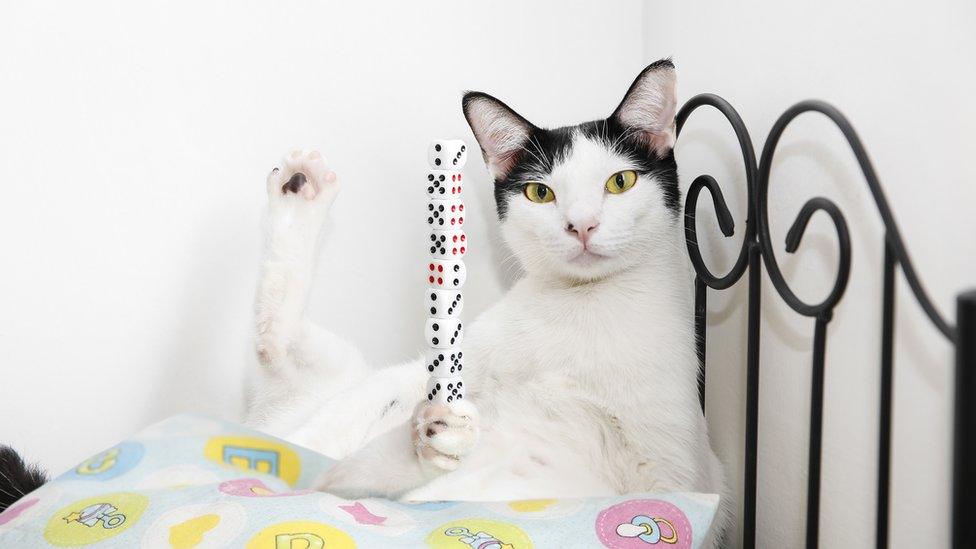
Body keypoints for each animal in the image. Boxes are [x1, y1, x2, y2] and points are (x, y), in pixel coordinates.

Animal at [248, 61, 728, 536]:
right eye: (540, 192)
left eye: (621, 181)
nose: (581, 225)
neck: (586, 305)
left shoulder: (658, 474)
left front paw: (430, 444)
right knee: (289, 370)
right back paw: (300, 191)